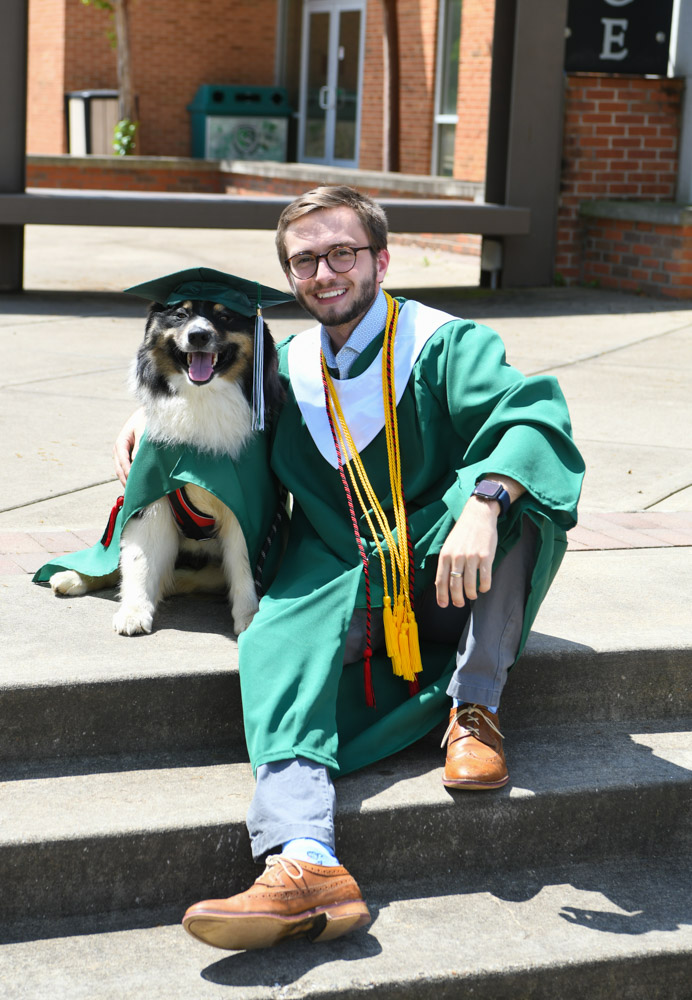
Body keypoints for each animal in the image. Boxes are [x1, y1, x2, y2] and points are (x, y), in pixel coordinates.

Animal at [37, 270, 292, 636]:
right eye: (181, 314)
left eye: (225, 317)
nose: (198, 335)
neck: (200, 400)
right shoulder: (150, 498)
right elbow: (140, 560)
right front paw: (134, 611)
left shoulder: (245, 508)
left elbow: (244, 567)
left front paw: (249, 616)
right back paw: (74, 577)